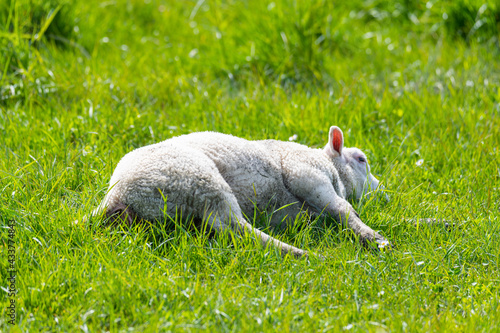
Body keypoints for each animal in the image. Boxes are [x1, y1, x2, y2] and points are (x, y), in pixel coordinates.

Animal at [85, 125, 390, 256]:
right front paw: (374, 238)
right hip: (200, 180)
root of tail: (116, 195)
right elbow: (343, 208)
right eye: (362, 159)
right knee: (235, 228)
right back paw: (302, 254)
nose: (385, 194)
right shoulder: (305, 172)